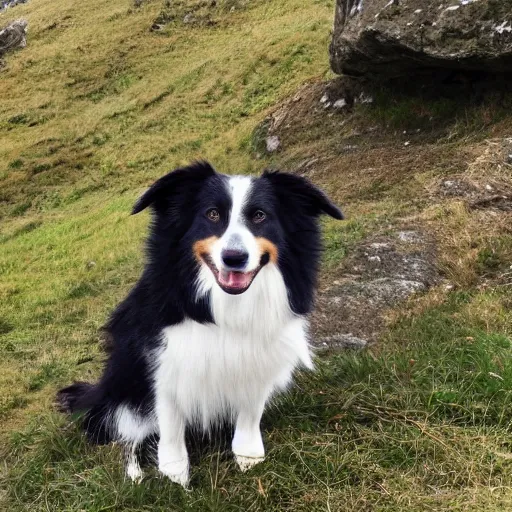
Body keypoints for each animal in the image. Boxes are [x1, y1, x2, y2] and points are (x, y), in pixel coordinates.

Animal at [57, 162, 344, 486]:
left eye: (260, 215)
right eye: (212, 214)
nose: (234, 258)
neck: (228, 304)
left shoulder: (260, 358)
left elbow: (250, 410)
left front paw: (248, 456)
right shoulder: (163, 360)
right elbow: (169, 419)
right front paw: (174, 471)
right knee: (128, 435)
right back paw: (135, 475)